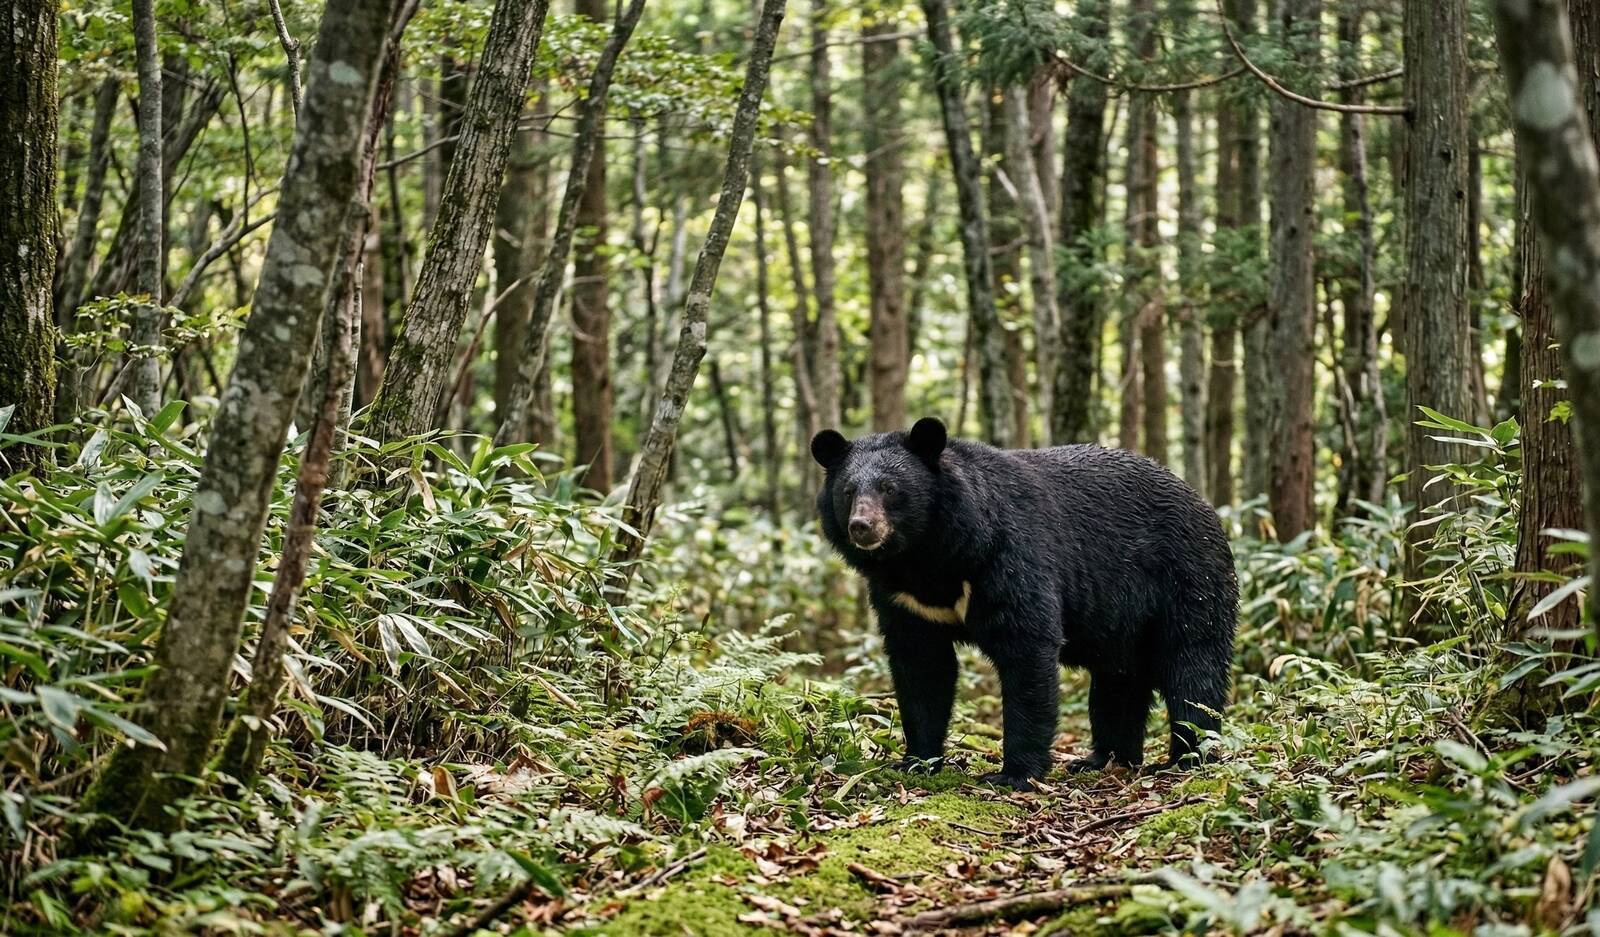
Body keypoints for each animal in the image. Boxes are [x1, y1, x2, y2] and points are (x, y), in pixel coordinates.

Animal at [811, 417, 1237, 790]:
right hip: (1123, 621)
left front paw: (1013, 775)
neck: (926, 557)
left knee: (1192, 666)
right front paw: (915, 762)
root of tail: (1206, 507)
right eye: (848, 492)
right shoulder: (905, 601)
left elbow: (1026, 649)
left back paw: (1188, 757)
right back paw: (1102, 759)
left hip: (1187, 581)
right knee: (1119, 681)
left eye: (890, 488)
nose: (862, 527)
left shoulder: (1007, 556)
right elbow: (922, 668)